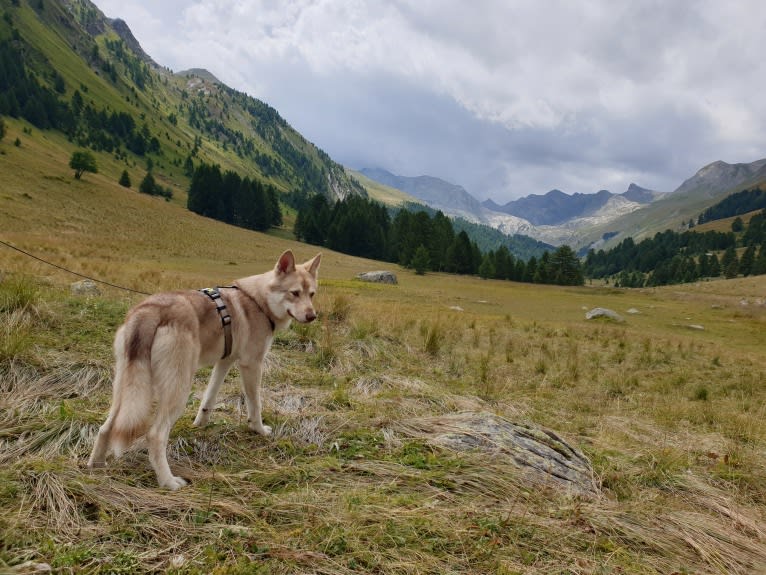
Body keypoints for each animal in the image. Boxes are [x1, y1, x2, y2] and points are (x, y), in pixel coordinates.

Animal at [88, 250, 320, 488]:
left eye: (311, 294)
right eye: (294, 293)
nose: (312, 316)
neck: (258, 301)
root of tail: (150, 310)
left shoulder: (224, 362)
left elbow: (209, 398)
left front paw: (201, 424)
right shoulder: (252, 365)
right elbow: (255, 405)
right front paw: (259, 430)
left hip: (126, 388)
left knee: (106, 427)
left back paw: (96, 465)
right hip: (178, 389)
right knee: (155, 435)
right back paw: (168, 482)